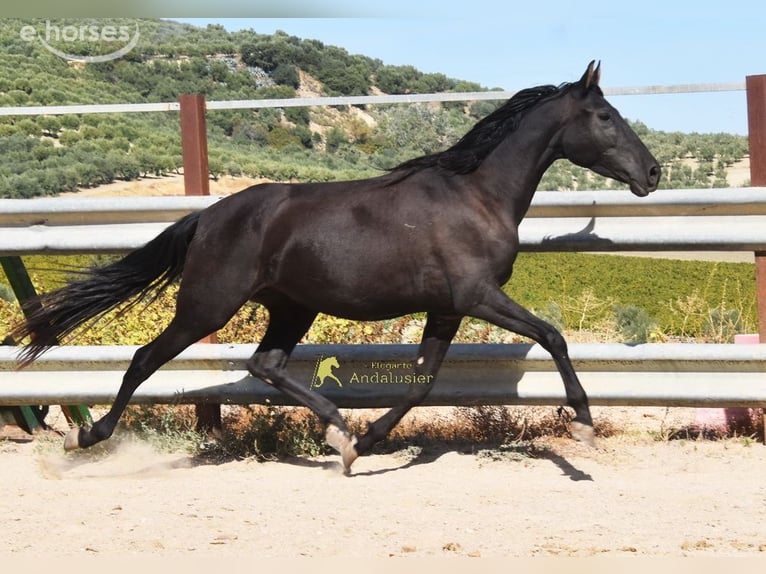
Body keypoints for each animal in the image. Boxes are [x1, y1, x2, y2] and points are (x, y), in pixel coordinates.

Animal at [11, 61, 660, 473]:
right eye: (605, 116)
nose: (652, 173)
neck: (477, 196)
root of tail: (210, 216)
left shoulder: (447, 308)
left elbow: (422, 383)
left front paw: (365, 441)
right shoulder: (476, 296)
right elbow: (553, 336)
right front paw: (582, 421)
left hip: (291, 307)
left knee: (264, 363)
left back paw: (338, 430)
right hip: (206, 306)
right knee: (146, 359)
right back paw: (87, 436)